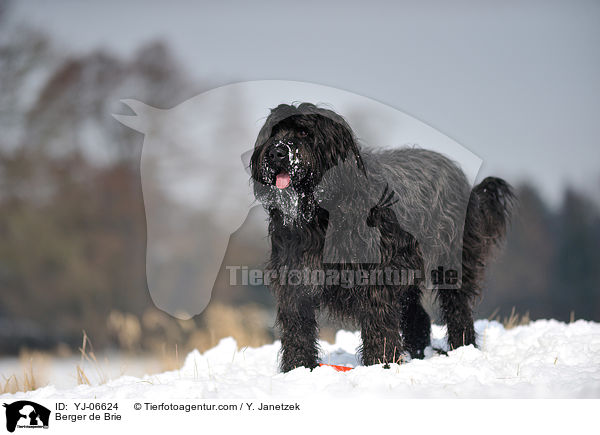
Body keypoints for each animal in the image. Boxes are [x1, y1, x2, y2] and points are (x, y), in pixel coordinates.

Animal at [251, 102, 512, 372]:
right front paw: (299, 368)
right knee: (418, 315)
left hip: (451, 258)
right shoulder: (295, 274)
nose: (276, 153)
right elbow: (298, 326)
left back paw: (463, 348)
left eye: (303, 132)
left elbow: (379, 322)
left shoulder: (376, 276)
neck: (322, 213)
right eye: (274, 133)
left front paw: (379, 363)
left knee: (457, 305)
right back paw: (418, 354)